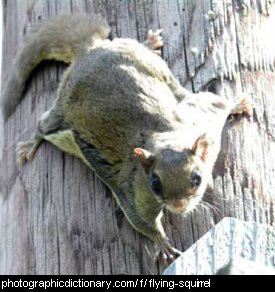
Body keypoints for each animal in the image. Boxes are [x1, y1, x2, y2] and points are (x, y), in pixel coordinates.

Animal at [0, 14, 254, 264]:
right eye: (155, 183)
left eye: (197, 178)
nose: (179, 206)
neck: (165, 134)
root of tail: (89, 50)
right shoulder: (133, 188)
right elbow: (141, 219)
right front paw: (163, 244)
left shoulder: (205, 119)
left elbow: (218, 103)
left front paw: (237, 104)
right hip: (60, 114)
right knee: (42, 125)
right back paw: (30, 144)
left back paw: (150, 43)